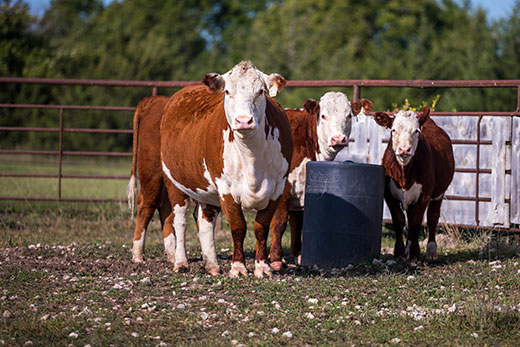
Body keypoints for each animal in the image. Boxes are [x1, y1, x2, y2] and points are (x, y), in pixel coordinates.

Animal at [158, 60, 292, 278]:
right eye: (228, 91)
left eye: (261, 91)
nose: (244, 121)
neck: (251, 156)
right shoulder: (226, 188)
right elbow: (238, 227)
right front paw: (238, 267)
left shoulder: (277, 188)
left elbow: (261, 227)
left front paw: (262, 267)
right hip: (174, 182)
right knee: (180, 220)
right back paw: (181, 262)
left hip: (207, 191)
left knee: (205, 221)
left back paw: (212, 265)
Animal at [266, 92, 372, 270]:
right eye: (323, 115)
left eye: (349, 115)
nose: (338, 139)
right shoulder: (284, 188)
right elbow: (280, 223)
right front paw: (276, 259)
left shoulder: (301, 193)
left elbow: (298, 225)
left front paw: (299, 256)